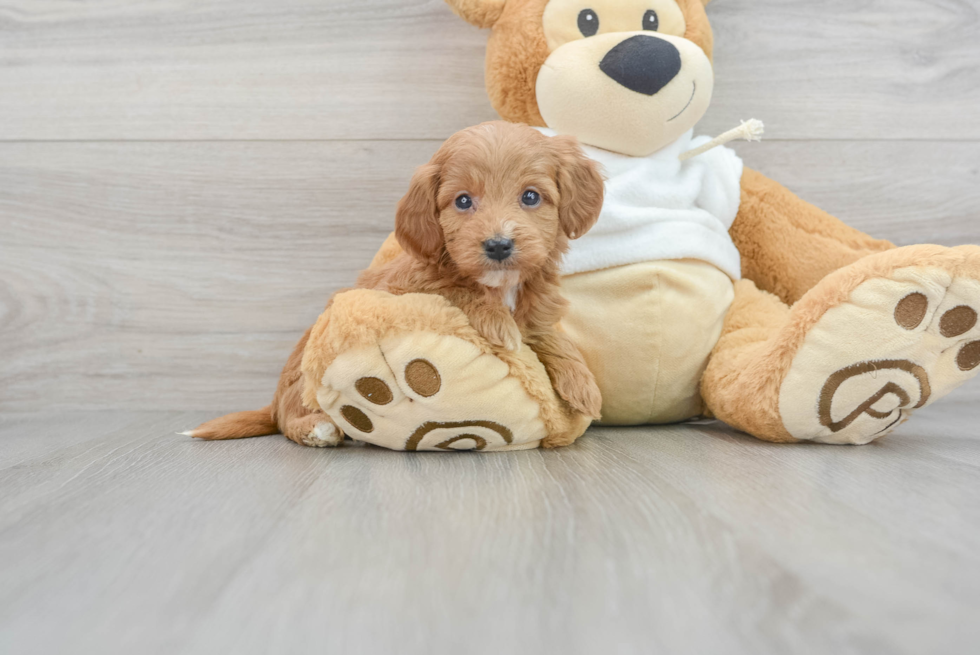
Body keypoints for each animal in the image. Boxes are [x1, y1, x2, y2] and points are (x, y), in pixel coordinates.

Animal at [188, 120, 604, 448]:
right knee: (291, 418)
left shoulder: (537, 311)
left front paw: (584, 386)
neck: (502, 285)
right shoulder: (409, 287)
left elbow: (550, 337)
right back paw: (317, 428)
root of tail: (272, 402)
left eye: (531, 196)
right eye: (463, 201)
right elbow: (459, 292)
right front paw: (497, 322)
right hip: (300, 386)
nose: (499, 245)